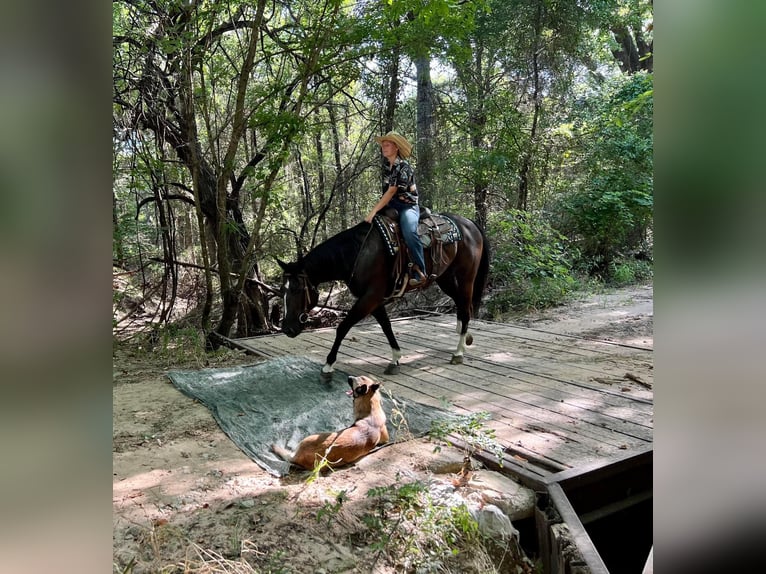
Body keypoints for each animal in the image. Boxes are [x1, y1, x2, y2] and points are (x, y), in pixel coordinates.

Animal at [280, 213, 488, 382]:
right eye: (282, 290)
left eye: (297, 289)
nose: (287, 328)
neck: (356, 253)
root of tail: (469, 223)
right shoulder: (374, 299)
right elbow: (386, 326)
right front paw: (395, 359)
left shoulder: (370, 297)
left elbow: (343, 327)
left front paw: (328, 366)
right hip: (444, 278)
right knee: (462, 304)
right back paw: (464, 335)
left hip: (466, 277)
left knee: (465, 305)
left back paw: (458, 352)